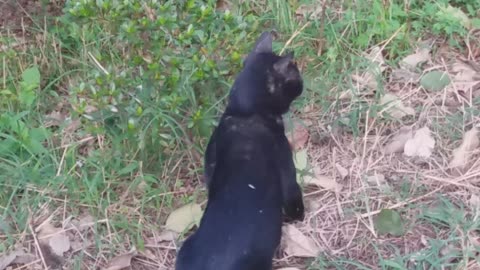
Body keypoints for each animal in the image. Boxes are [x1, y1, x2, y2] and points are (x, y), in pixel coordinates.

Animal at [175, 31, 304, 270]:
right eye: (295, 78)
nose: (302, 84)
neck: (243, 112)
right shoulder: (285, 162)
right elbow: (293, 196)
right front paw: (297, 217)